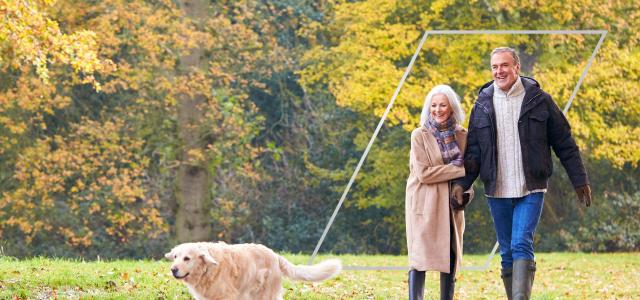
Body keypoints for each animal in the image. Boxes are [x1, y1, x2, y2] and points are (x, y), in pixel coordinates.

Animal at [168, 241, 342, 300]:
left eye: (187, 258)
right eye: (175, 256)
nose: (173, 269)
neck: (208, 270)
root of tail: (274, 255)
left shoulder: (227, 296)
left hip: (265, 295)